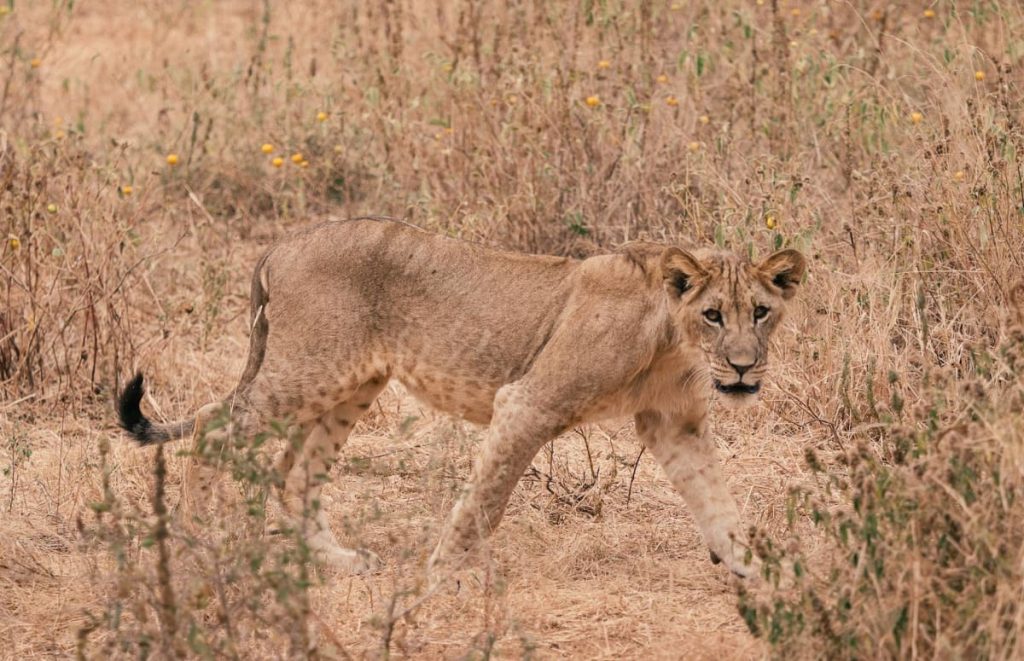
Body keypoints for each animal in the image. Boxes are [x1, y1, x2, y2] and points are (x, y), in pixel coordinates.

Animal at [117, 216, 806, 581]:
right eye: (713, 315)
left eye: (761, 313)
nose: (743, 368)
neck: (673, 339)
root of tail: (281, 245)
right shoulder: (528, 403)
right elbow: (485, 501)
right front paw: (441, 579)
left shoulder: (675, 424)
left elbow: (716, 499)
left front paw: (758, 570)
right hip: (306, 370)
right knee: (215, 426)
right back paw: (198, 543)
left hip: (351, 386)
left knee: (295, 470)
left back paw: (337, 559)